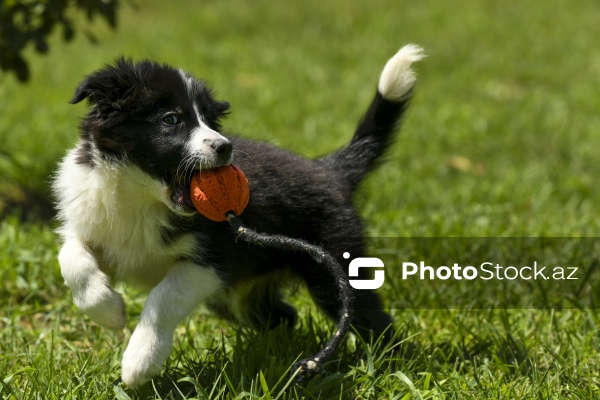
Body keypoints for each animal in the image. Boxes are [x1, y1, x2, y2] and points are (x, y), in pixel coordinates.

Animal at [52, 44, 426, 388]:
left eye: (208, 120)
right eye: (171, 119)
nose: (224, 147)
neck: (140, 199)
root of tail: (329, 170)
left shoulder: (214, 260)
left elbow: (163, 298)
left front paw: (138, 362)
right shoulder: (93, 225)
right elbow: (71, 258)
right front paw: (109, 310)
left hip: (334, 269)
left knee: (372, 319)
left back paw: (391, 366)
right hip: (238, 299)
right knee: (284, 316)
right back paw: (276, 357)